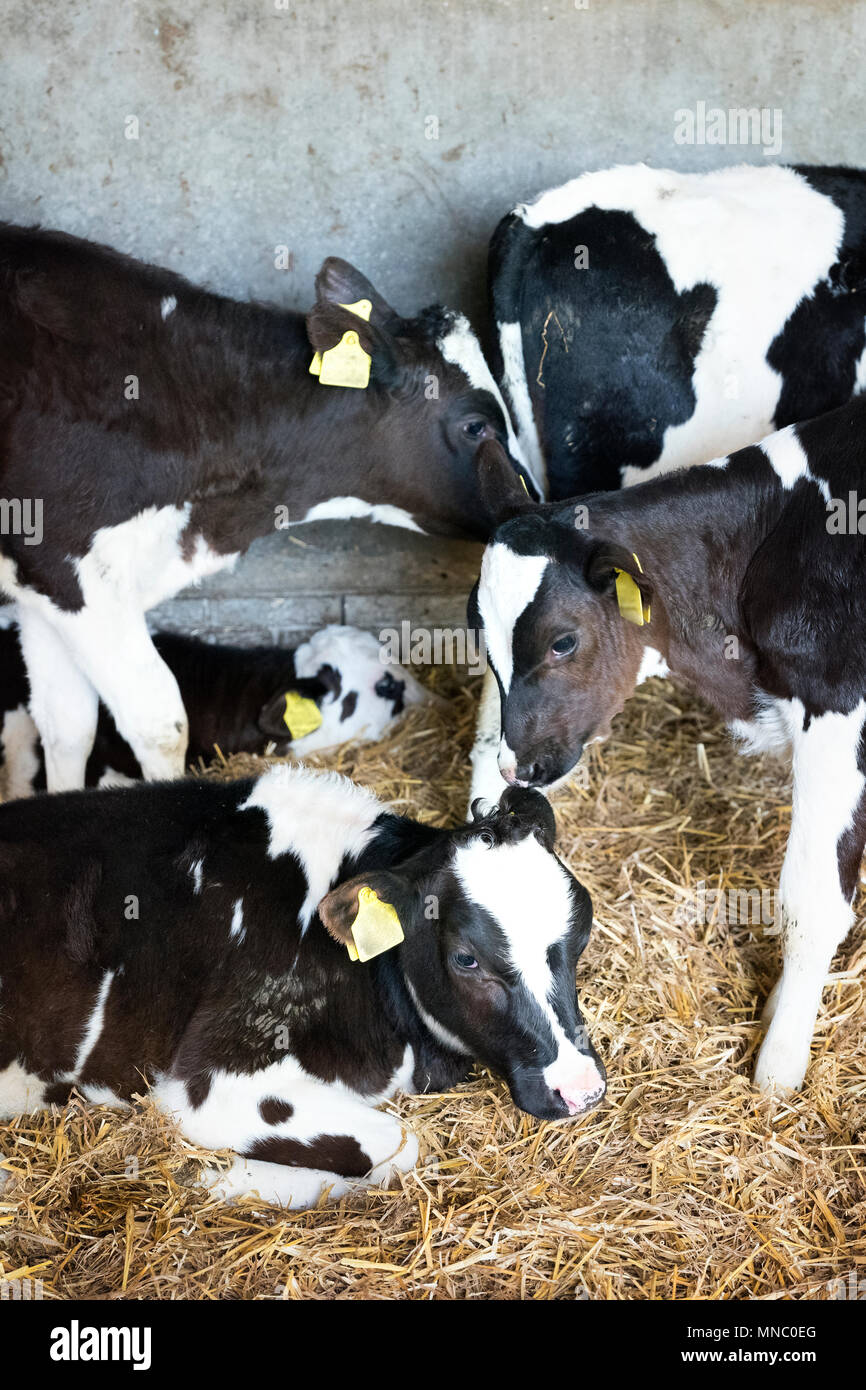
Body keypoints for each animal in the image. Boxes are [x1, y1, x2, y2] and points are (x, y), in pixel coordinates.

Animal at [0, 768, 605, 1209]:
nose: (582, 1089)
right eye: (466, 958)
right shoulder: (208, 1084)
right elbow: (404, 1145)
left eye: (583, 930)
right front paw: (220, 1177)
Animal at [470, 399, 866, 1096]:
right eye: (480, 634)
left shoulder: (840, 704)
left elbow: (812, 896)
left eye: (562, 641)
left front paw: (780, 1062)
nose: (515, 767)